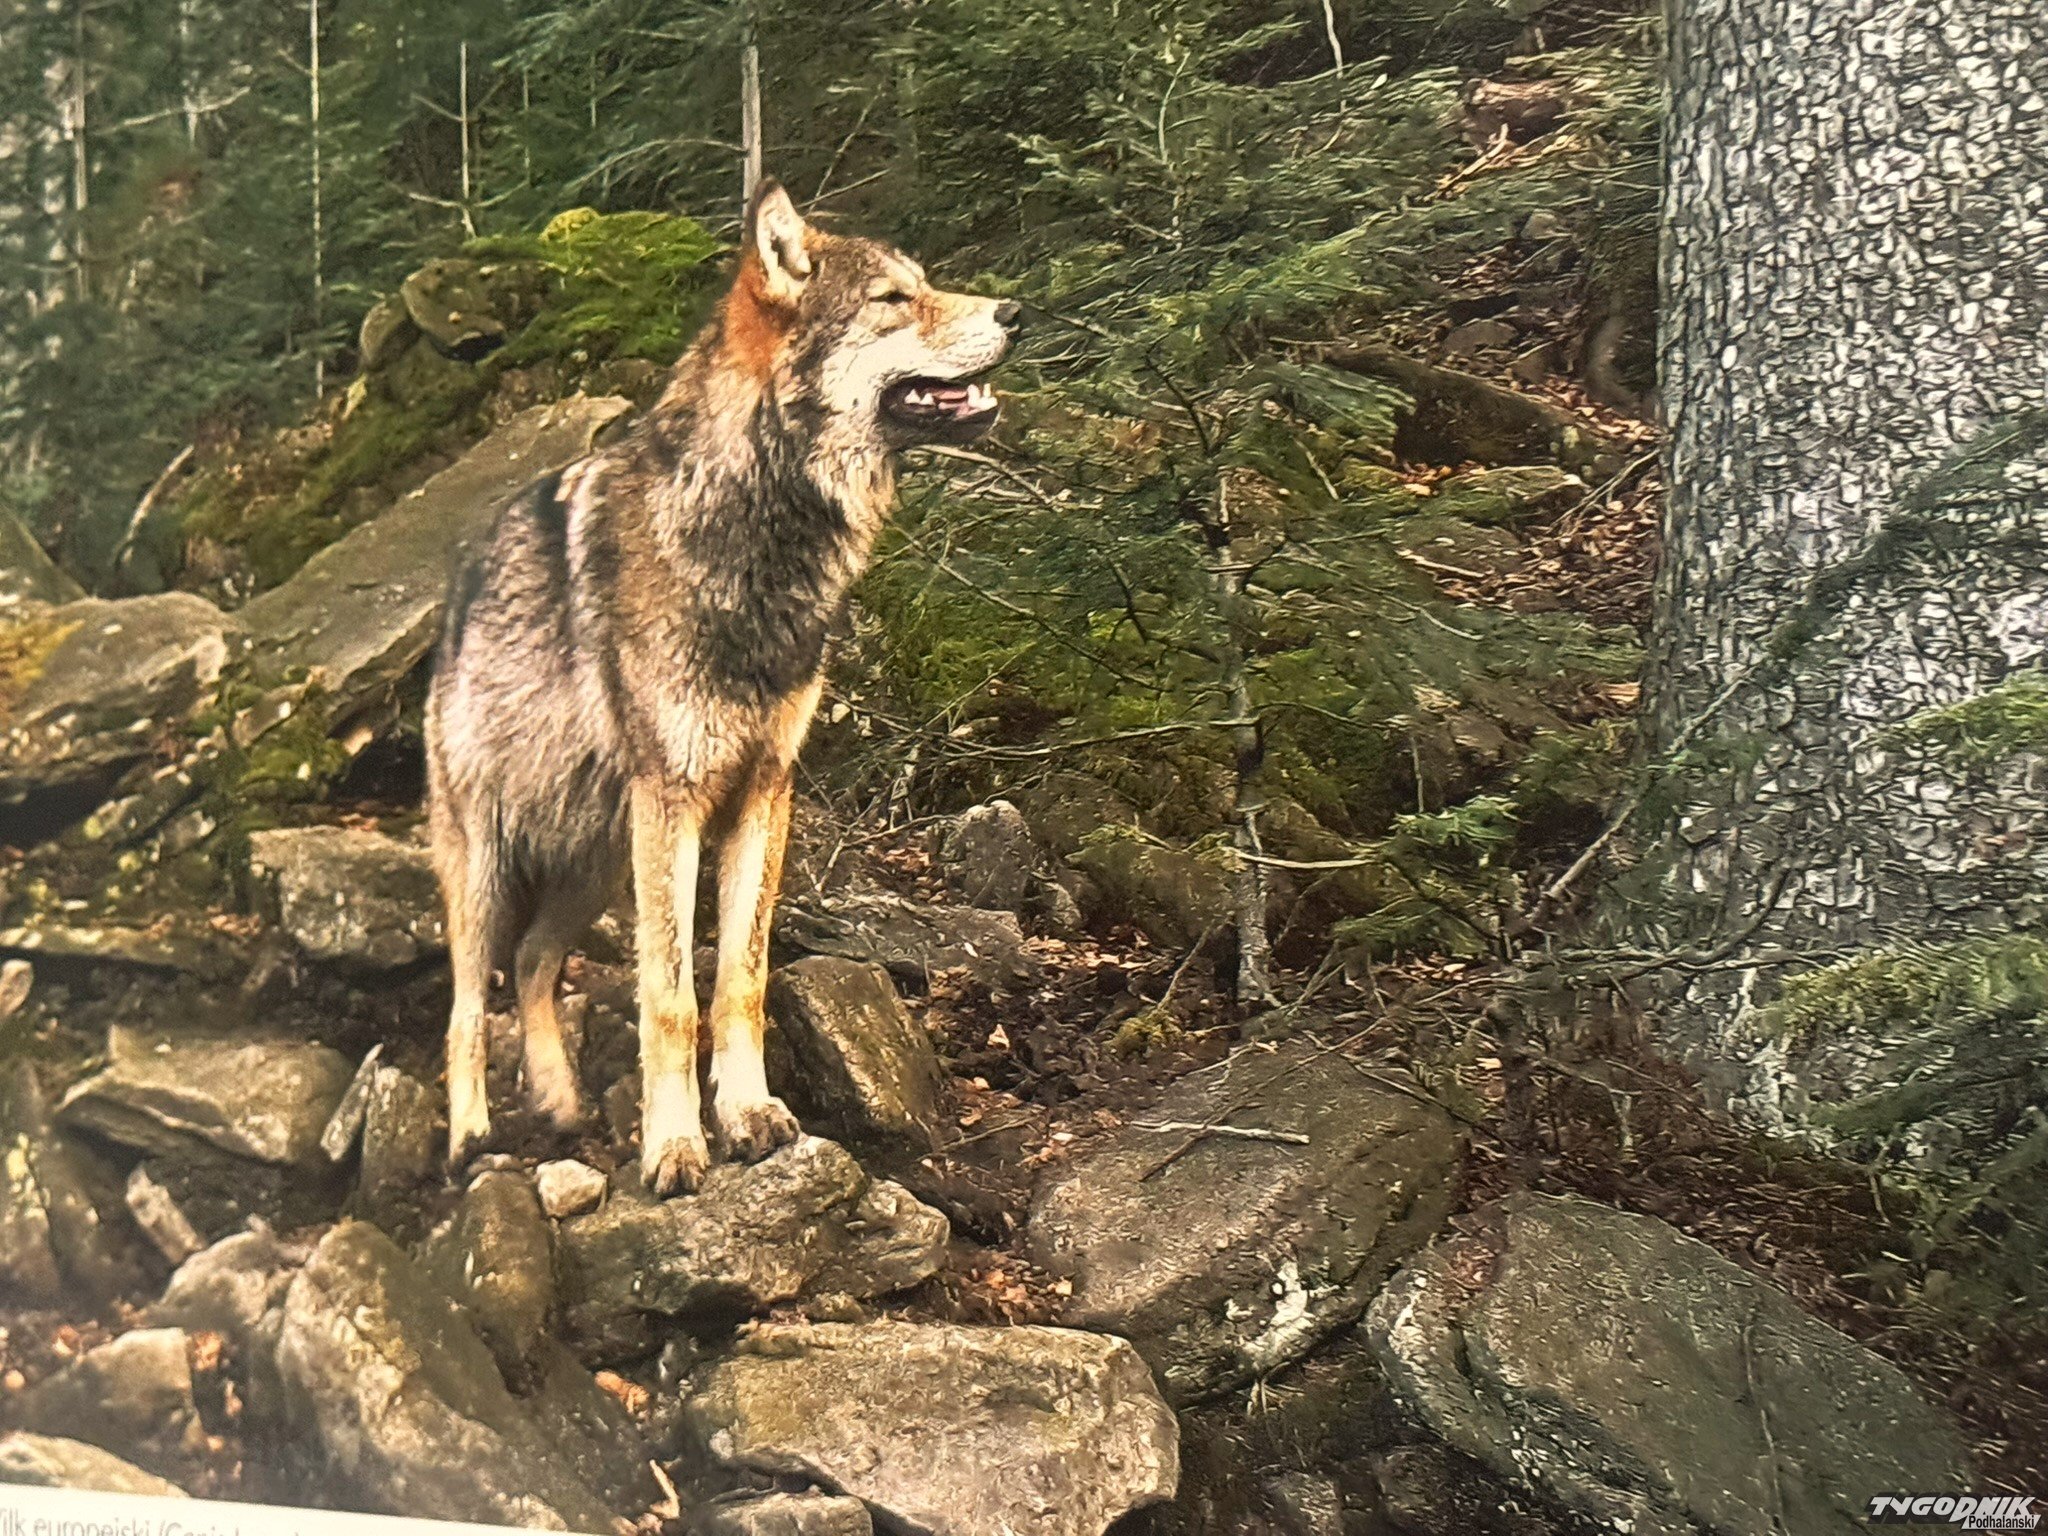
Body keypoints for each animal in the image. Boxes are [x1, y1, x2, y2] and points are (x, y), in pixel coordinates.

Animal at [424, 180, 1019, 1195]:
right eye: (893, 299)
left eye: (926, 283)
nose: (1015, 312)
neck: (757, 539)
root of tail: (454, 599)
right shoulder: (675, 804)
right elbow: (669, 997)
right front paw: (673, 1147)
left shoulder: (763, 794)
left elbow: (739, 978)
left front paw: (747, 1114)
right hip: (493, 870)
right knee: (467, 1000)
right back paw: (471, 1136)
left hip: (596, 864)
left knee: (537, 965)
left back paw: (562, 1103)